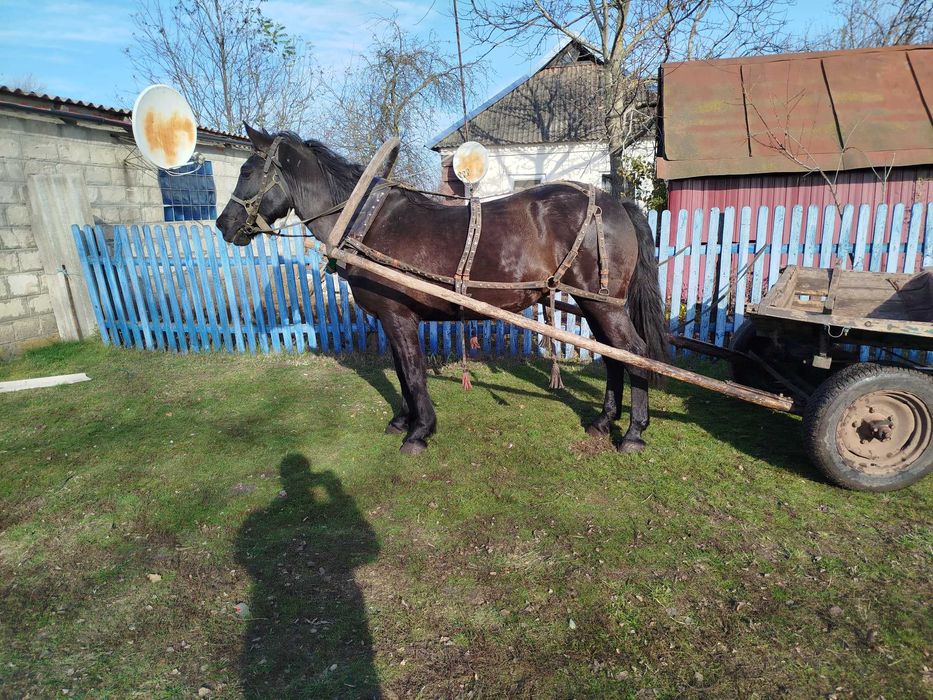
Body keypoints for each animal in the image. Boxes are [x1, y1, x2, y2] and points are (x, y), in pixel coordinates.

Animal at [216, 125, 668, 455]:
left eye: (248, 172)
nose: (223, 224)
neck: (364, 222)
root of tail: (616, 203)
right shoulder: (393, 319)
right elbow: (401, 372)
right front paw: (402, 420)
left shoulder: (398, 317)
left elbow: (414, 373)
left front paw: (419, 432)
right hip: (594, 302)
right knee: (613, 357)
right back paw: (603, 422)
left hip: (604, 304)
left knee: (635, 353)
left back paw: (633, 433)